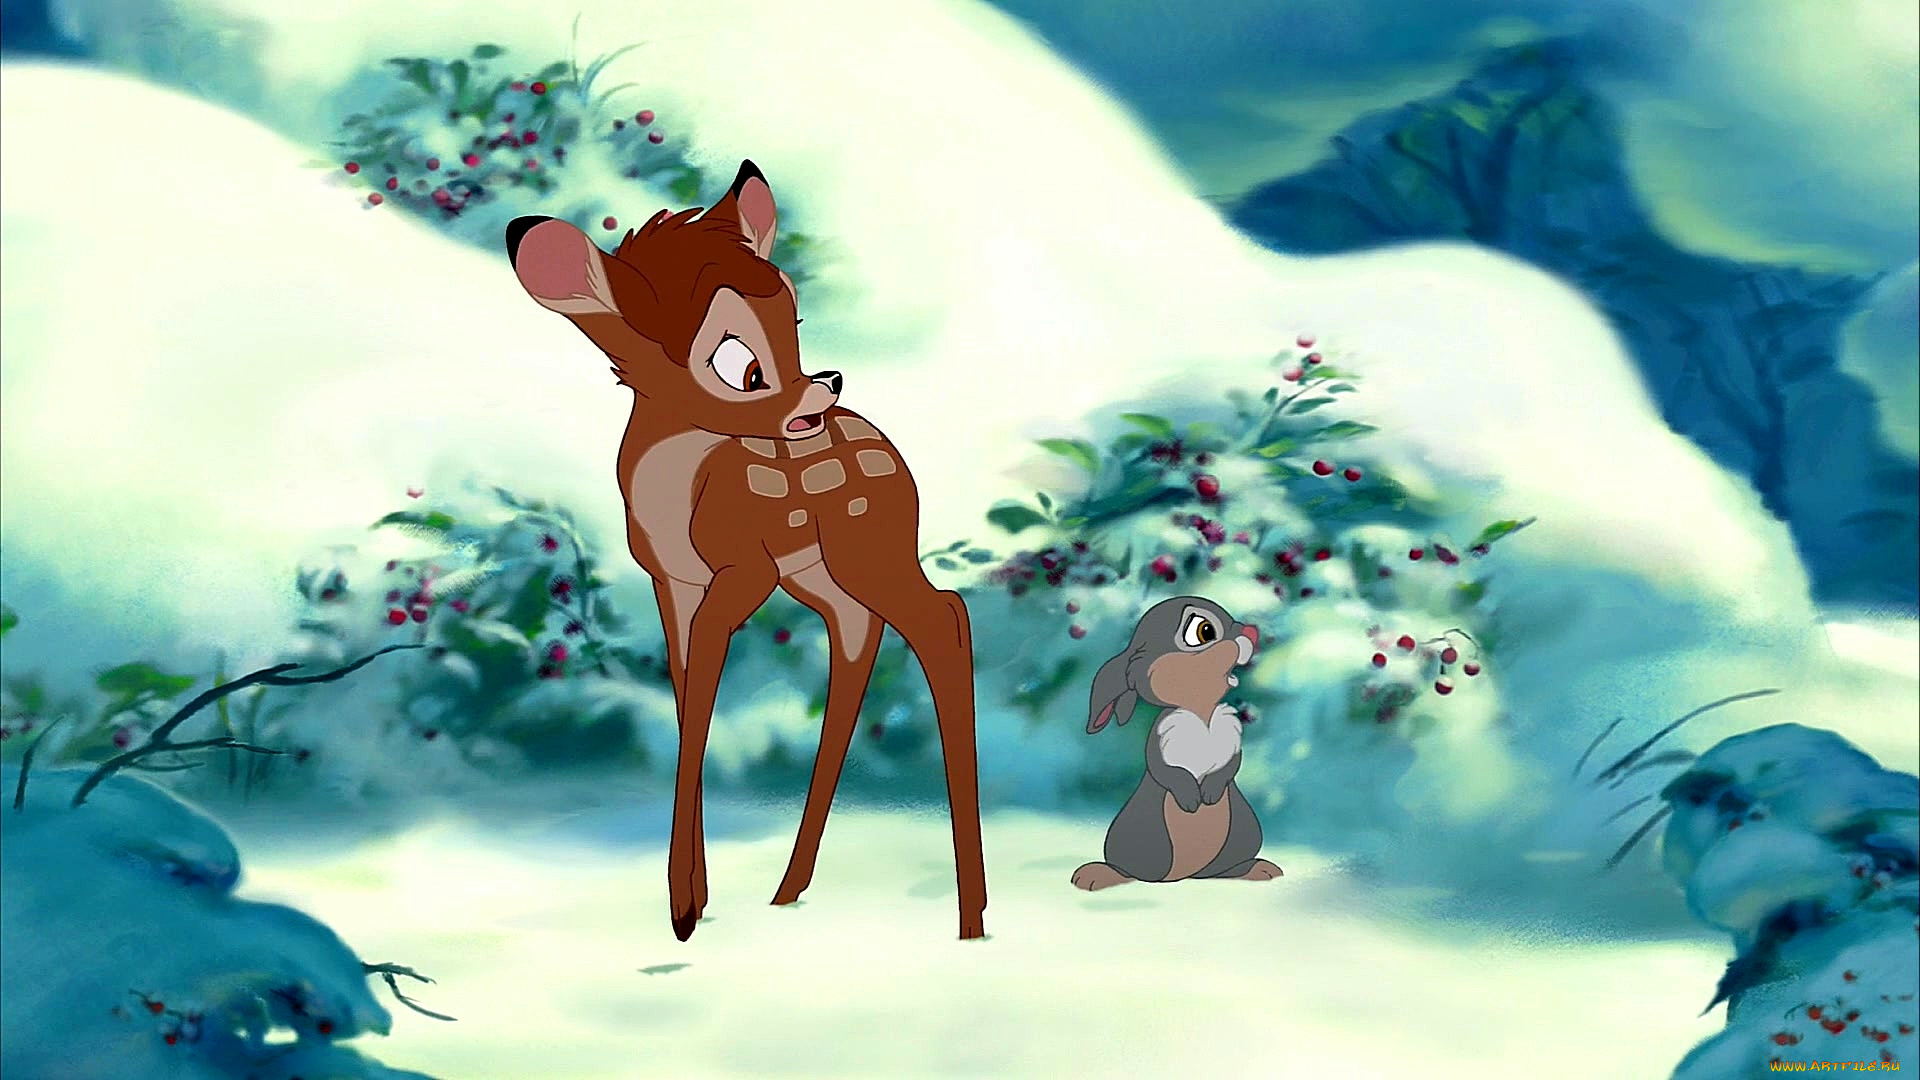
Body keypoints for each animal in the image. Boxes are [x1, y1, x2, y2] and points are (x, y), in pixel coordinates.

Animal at [1070, 595, 1284, 891]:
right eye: (1204, 631)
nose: (1252, 631)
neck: (1202, 713)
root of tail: (1186, 876)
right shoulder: (1159, 743)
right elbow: (1166, 771)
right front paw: (1191, 799)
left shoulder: (1233, 741)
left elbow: (1231, 766)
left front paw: (1209, 792)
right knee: (1128, 870)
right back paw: (1095, 875)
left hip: (1243, 832)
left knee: (1227, 868)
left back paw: (1259, 868)